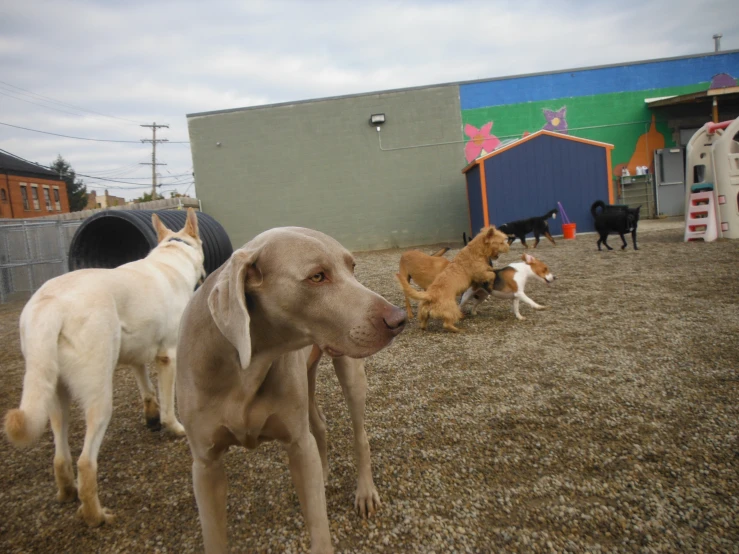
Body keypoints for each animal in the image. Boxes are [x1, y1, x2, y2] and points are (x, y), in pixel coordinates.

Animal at [3, 208, 205, 528]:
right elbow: (167, 405)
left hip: (54, 396)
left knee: (61, 457)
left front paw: (151, 419)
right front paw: (173, 427)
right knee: (86, 462)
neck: (171, 256)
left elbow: (148, 391)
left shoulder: (137, 357)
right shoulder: (168, 356)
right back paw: (95, 516)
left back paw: (68, 492)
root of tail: (50, 305)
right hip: (100, 398)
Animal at [175, 225, 404, 552]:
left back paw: (365, 491)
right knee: (317, 423)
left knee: (359, 435)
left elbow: (320, 531)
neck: (245, 366)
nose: (399, 318)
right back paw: (324, 472)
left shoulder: (298, 444)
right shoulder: (205, 466)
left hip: (349, 372)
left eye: (352, 267)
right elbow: (214, 536)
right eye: (317, 276)